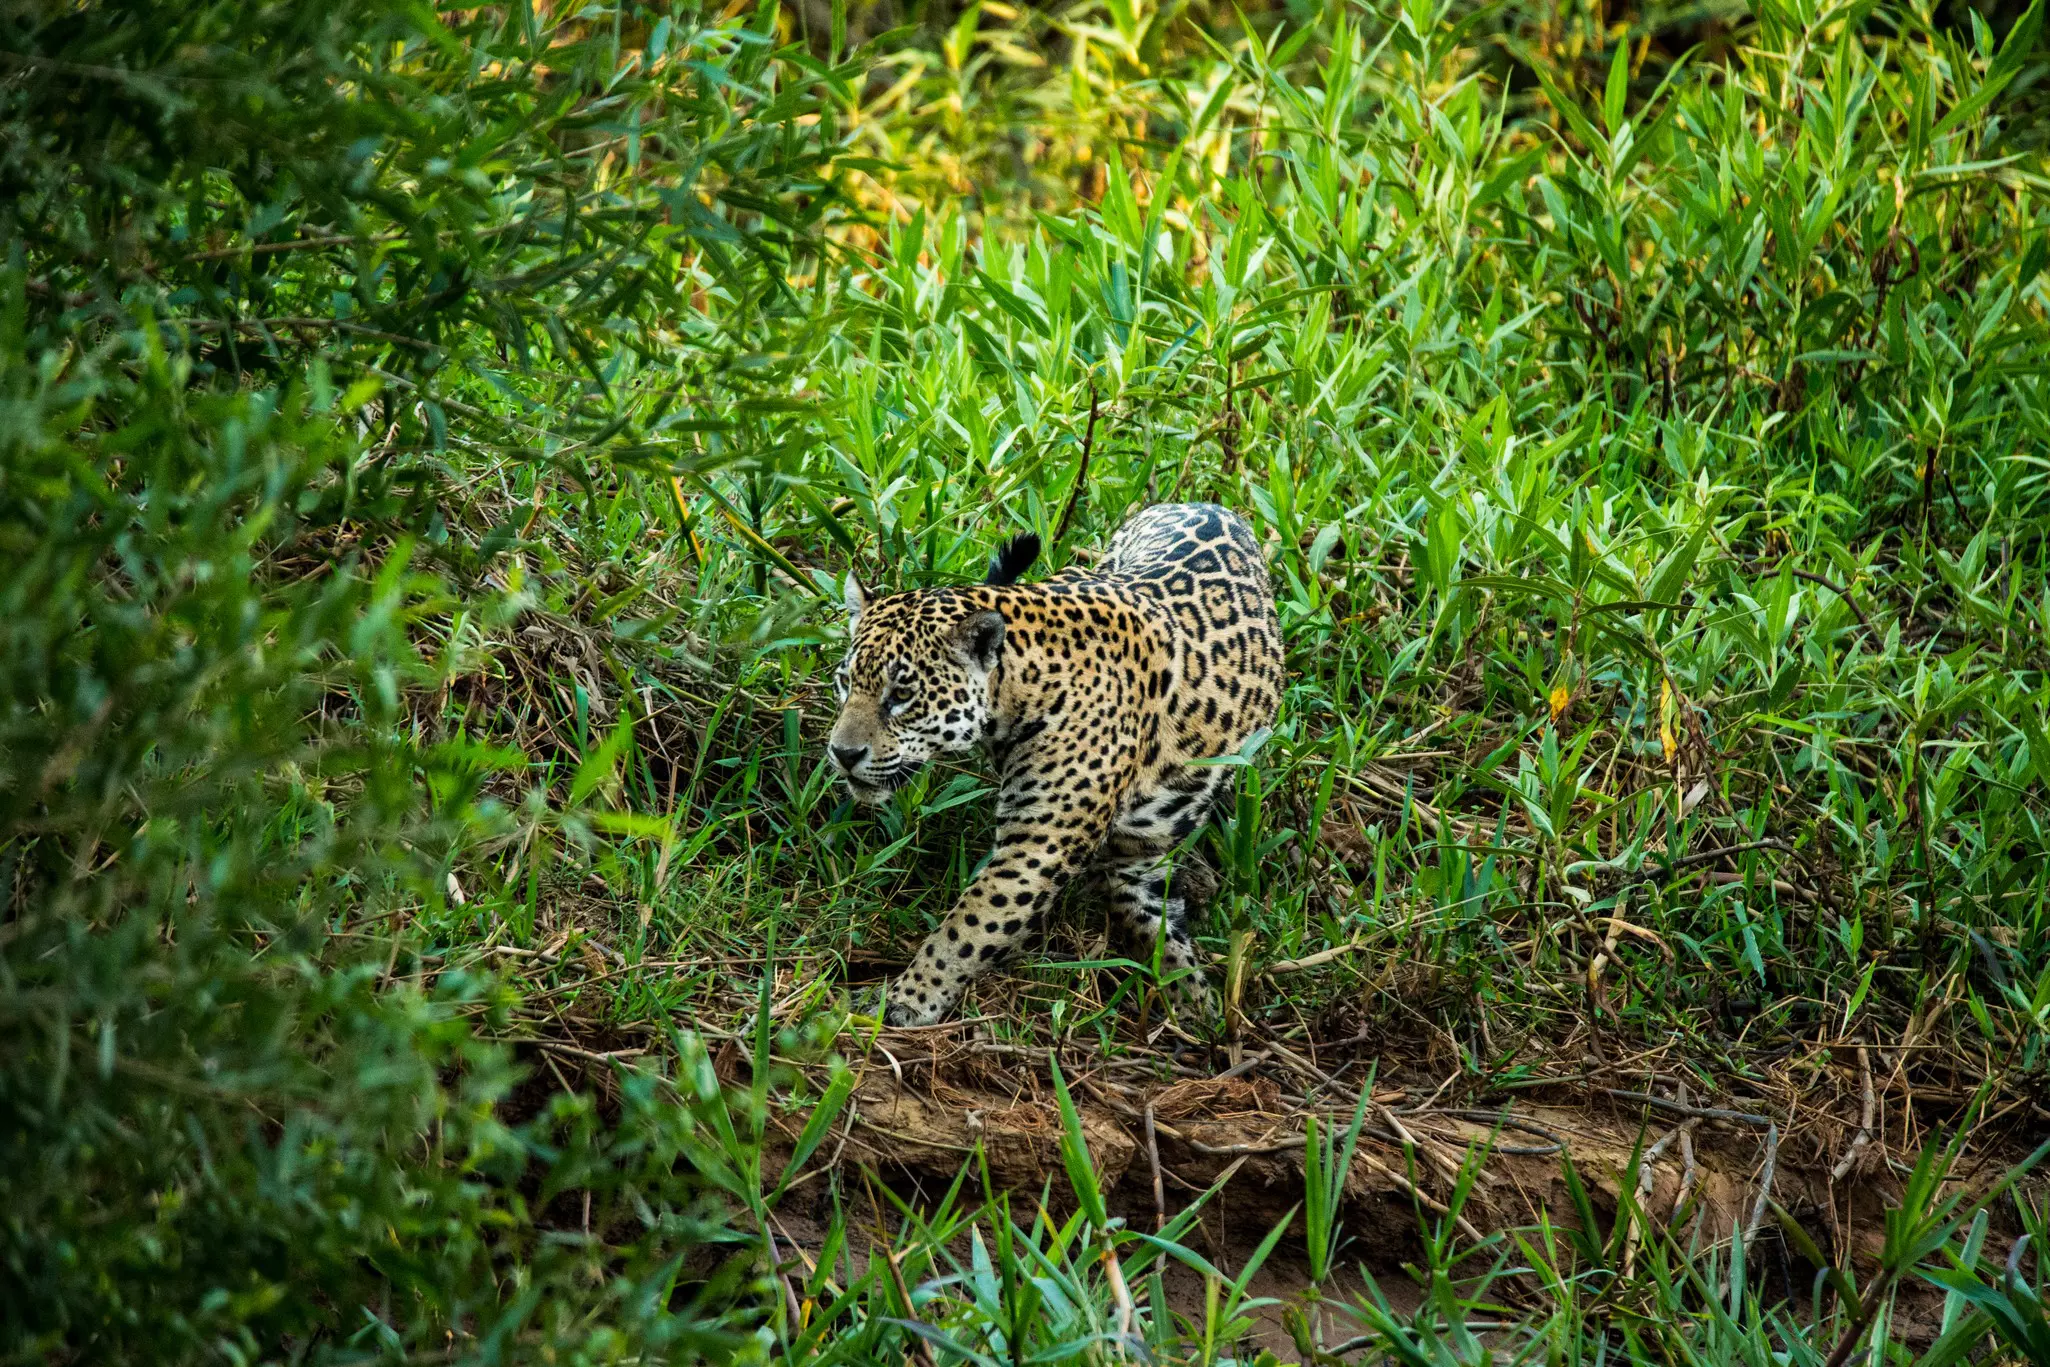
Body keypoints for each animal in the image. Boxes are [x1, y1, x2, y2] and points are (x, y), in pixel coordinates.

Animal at [826, 502, 1283, 1028]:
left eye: (902, 695)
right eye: (845, 682)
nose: (842, 754)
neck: (1020, 688)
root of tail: (1208, 503)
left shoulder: (1039, 844)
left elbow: (968, 928)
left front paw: (904, 1000)